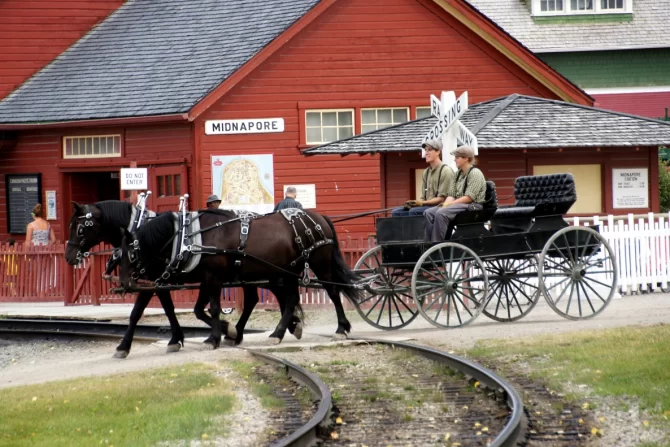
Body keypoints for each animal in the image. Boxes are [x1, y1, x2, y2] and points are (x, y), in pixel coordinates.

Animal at [121, 208, 362, 348]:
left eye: (131, 253)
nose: (124, 283)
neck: (190, 237)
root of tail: (318, 217)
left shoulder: (214, 277)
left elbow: (214, 308)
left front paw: (216, 337)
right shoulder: (207, 278)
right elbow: (200, 310)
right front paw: (228, 331)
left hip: (318, 263)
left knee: (333, 292)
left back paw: (341, 329)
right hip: (288, 271)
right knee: (291, 299)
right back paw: (279, 332)